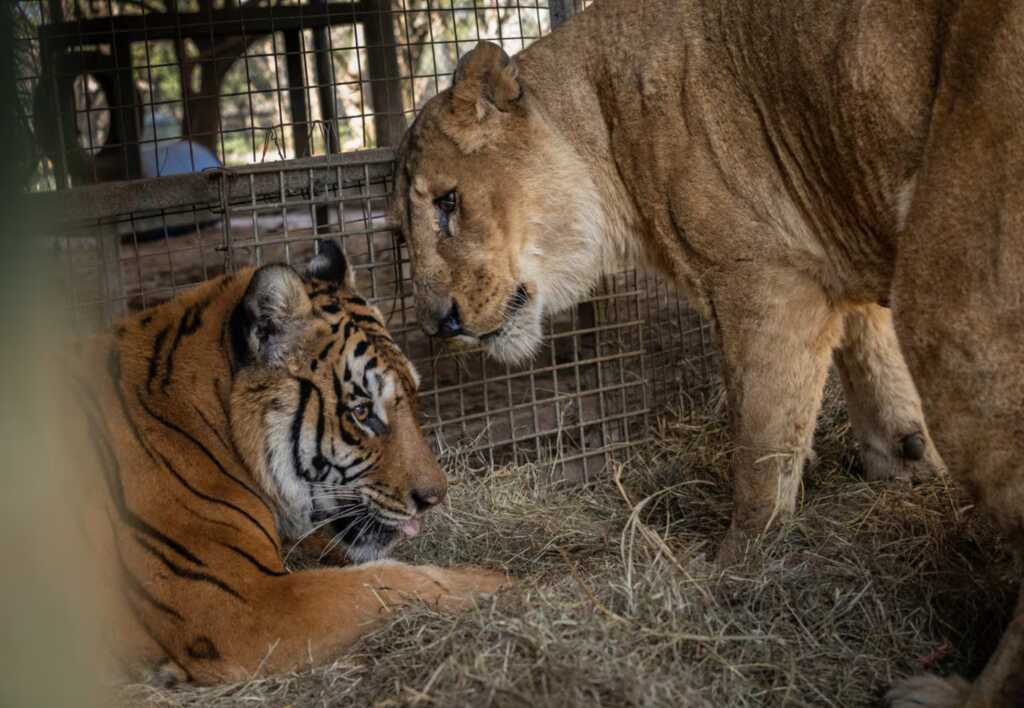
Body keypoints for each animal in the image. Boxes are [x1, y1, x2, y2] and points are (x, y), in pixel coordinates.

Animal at [65, 240, 509, 685]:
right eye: (362, 411)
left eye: (414, 396)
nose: (434, 497)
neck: (212, 417)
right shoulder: (245, 605)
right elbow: (384, 582)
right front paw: (494, 582)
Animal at [392, 1, 1024, 705]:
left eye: (449, 202)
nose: (437, 324)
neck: (607, 128)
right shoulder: (836, 232)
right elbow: (872, 357)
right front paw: (906, 462)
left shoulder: (766, 280)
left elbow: (761, 441)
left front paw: (736, 563)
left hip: (955, 297)